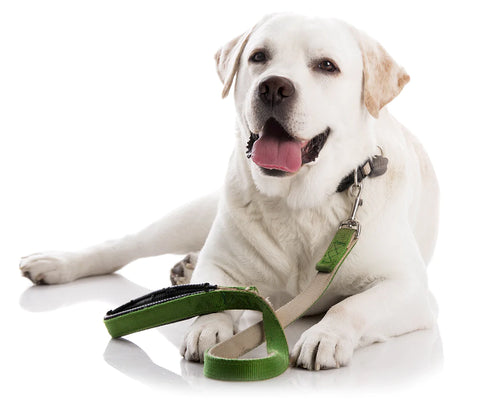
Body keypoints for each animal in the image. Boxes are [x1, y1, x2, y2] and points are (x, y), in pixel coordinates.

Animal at [18, 14, 438, 372]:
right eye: (259, 56)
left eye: (326, 66)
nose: (274, 86)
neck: (297, 201)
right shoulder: (221, 266)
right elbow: (214, 296)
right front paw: (210, 326)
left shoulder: (412, 291)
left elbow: (351, 306)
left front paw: (326, 335)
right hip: (192, 215)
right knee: (127, 244)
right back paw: (56, 263)